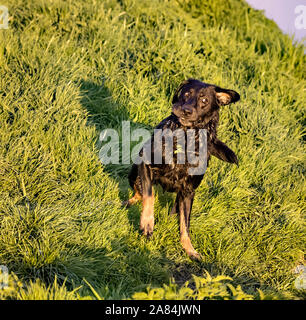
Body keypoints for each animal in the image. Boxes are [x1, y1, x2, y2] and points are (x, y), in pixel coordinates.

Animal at [123, 79, 239, 258]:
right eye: (186, 93)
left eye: (204, 100)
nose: (186, 110)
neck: (185, 138)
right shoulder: (145, 163)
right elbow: (150, 195)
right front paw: (147, 223)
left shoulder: (189, 191)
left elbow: (185, 224)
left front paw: (189, 249)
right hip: (134, 172)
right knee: (139, 193)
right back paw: (129, 202)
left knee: (175, 209)